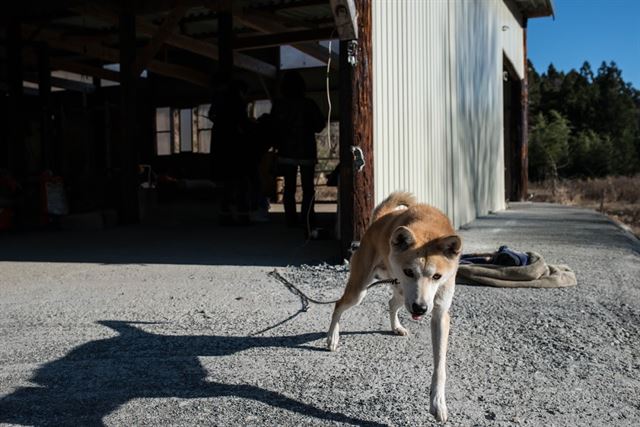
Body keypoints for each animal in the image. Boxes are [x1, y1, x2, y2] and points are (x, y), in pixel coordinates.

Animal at [330, 193, 460, 424]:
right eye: (409, 272)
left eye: (437, 276)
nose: (420, 308)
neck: (429, 226)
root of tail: (378, 221)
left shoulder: (439, 315)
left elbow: (440, 366)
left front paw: (438, 403)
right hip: (360, 291)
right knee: (338, 305)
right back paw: (332, 338)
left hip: (401, 293)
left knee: (392, 303)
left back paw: (396, 327)